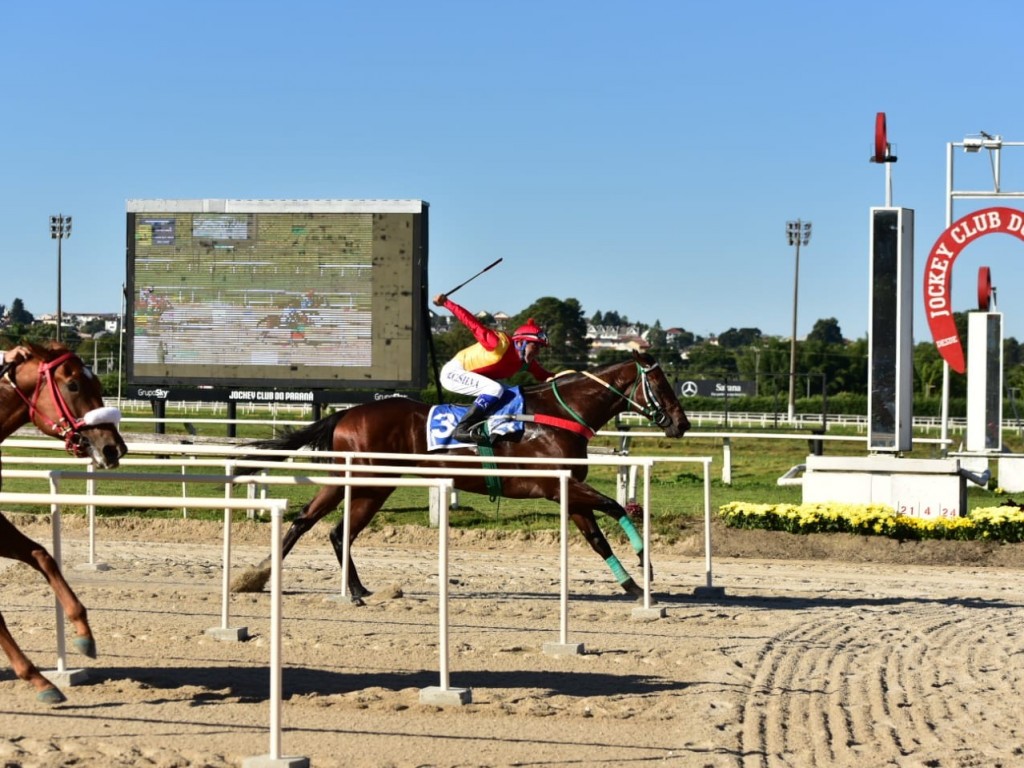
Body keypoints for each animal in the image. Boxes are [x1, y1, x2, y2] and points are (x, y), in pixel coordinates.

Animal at [0, 342, 126, 704]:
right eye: (73, 385)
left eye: (97, 382)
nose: (114, 448)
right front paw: (37, 679)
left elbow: (42, 555)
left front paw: (85, 635)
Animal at [234, 352, 688, 606]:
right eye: (660, 384)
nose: (681, 424)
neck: (558, 415)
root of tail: (346, 413)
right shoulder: (557, 485)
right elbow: (615, 506)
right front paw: (645, 567)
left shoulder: (566, 491)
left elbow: (597, 538)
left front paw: (632, 585)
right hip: (364, 476)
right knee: (311, 521)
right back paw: (257, 577)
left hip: (375, 485)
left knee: (333, 529)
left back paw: (353, 589)